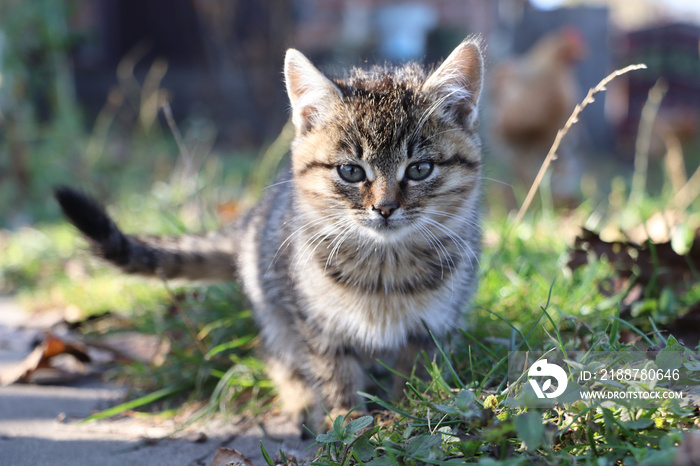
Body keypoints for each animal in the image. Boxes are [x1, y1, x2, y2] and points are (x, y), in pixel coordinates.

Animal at [54, 37, 484, 430]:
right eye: (351, 171)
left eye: (419, 169)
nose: (385, 208)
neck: (385, 268)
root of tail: (250, 220)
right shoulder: (314, 323)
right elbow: (334, 374)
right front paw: (347, 421)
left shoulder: (436, 324)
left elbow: (419, 372)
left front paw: (416, 409)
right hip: (273, 304)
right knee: (274, 353)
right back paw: (299, 401)